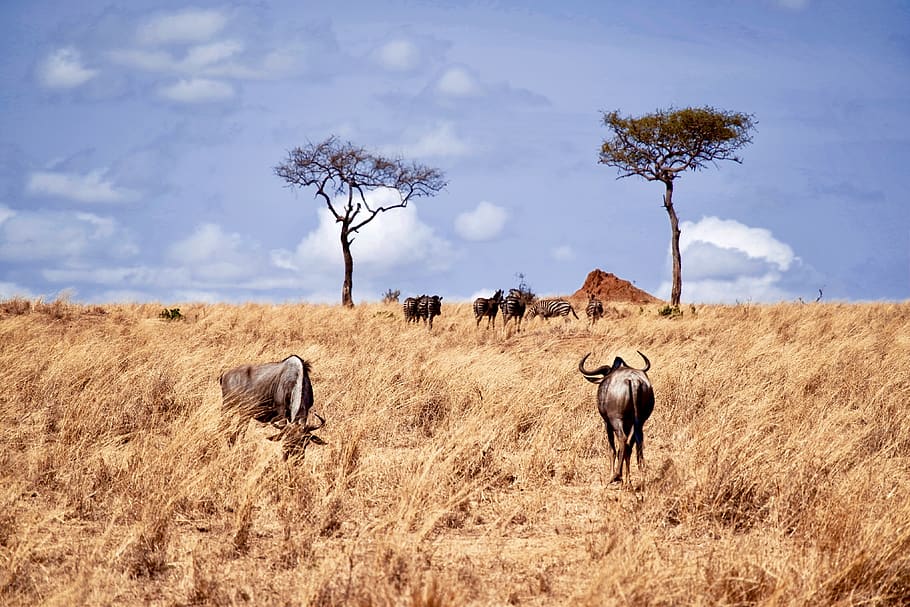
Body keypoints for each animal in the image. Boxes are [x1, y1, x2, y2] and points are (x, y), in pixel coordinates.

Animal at [578, 351, 654, 487]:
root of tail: (633, 381)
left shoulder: (607, 423)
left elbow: (612, 449)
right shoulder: (629, 423)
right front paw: (627, 480)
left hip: (616, 421)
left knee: (623, 441)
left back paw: (616, 476)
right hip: (639, 422)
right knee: (634, 443)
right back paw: (634, 478)